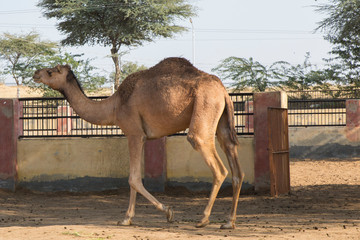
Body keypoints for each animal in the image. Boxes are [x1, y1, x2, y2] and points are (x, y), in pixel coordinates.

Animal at [33, 57, 245, 230]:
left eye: (51, 71)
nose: (36, 73)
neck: (114, 106)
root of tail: (224, 91)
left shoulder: (134, 133)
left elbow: (133, 178)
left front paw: (166, 212)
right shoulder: (141, 136)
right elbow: (134, 178)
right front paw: (128, 219)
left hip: (205, 108)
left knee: (216, 165)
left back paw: (203, 219)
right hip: (222, 121)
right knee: (235, 164)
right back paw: (229, 222)